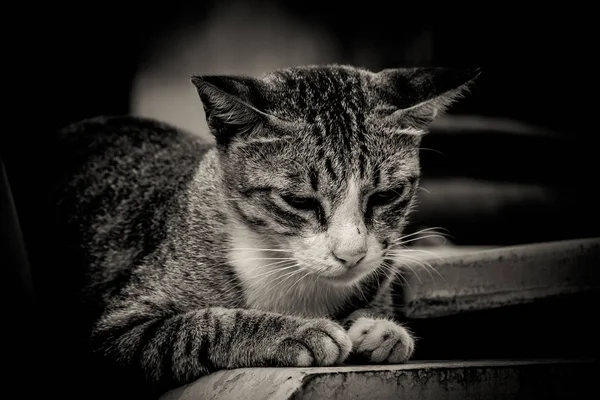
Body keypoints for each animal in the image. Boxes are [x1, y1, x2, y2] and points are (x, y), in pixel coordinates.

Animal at [50, 65, 478, 396]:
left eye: (386, 195)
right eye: (299, 201)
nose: (351, 254)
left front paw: (380, 329)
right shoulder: (114, 334)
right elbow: (196, 327)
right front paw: (296, 332)